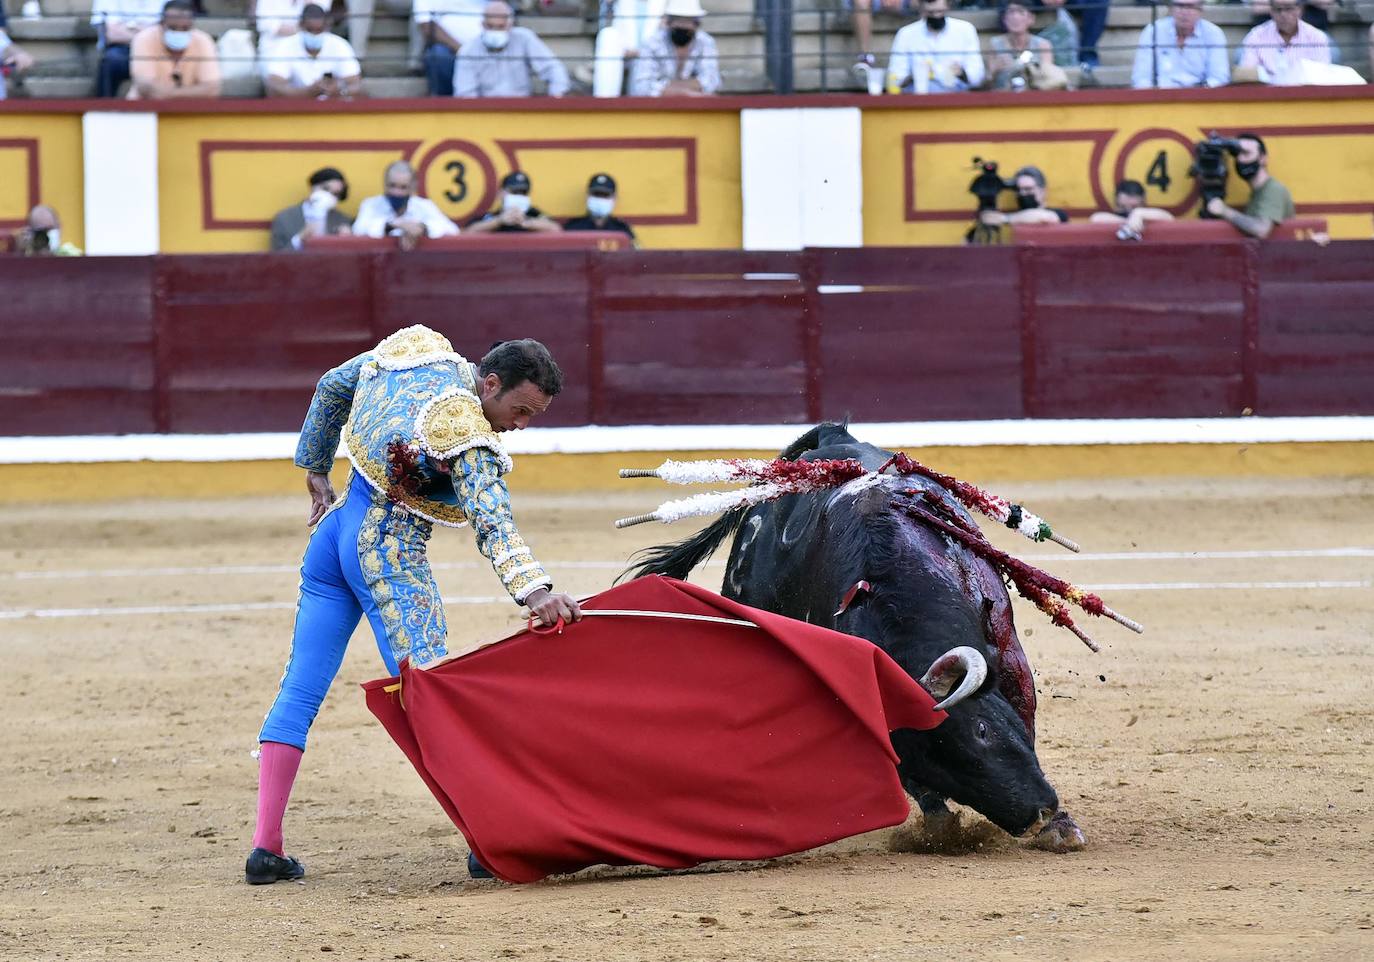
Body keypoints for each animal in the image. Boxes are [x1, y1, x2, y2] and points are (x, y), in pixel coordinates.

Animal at [623, 423, 1082, 852]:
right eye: (926, 762)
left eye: (982, 730)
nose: (1036, 814)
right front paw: (940, 827)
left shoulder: (1004, 649)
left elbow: (1025, 710)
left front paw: (1062, 829)